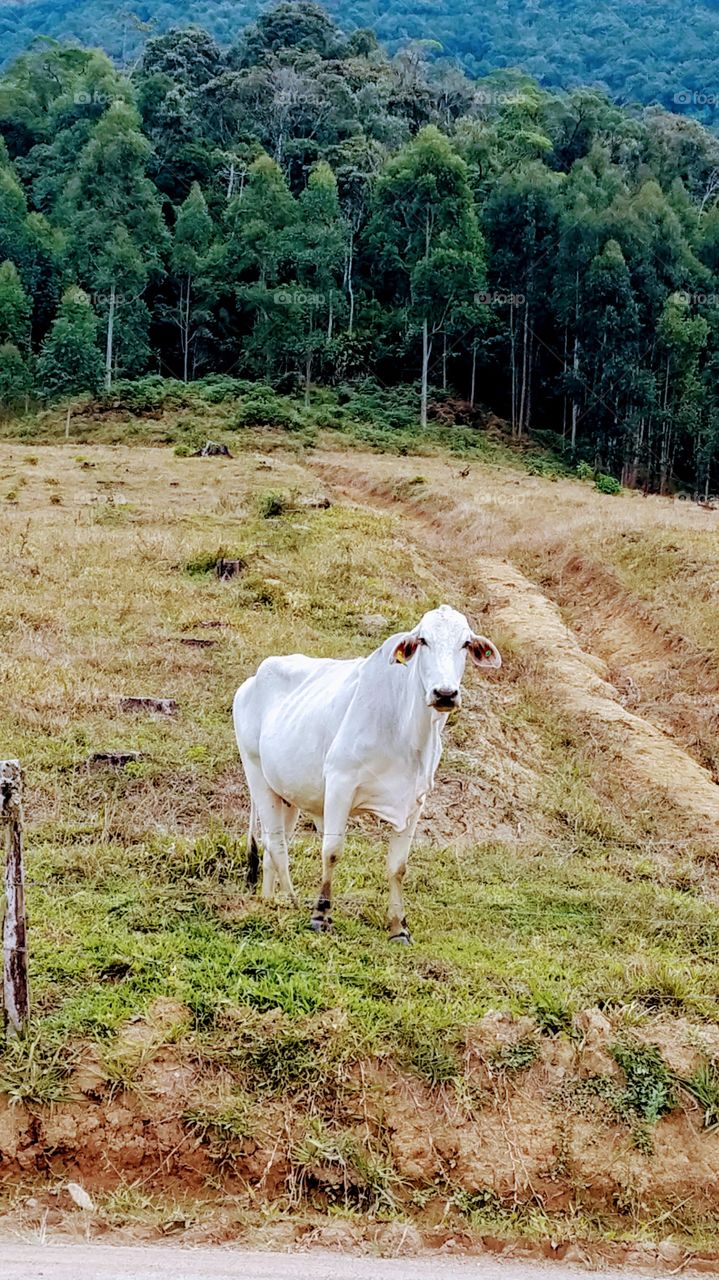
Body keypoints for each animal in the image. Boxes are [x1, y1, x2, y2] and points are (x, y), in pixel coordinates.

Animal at [232, 605, 501, 942]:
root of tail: (251, 681)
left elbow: (398, 866)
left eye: (465, 643)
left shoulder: (416, 800)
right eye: (423, 640)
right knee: (277, 846)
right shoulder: (340, 783)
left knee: (271, 848)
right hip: (256, 775)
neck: (407, 733)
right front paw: (320, 916)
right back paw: (292, 904)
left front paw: (399, 927)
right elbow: (332, 851)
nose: (445, 693)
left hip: (286, 794)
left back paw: (270, 902)